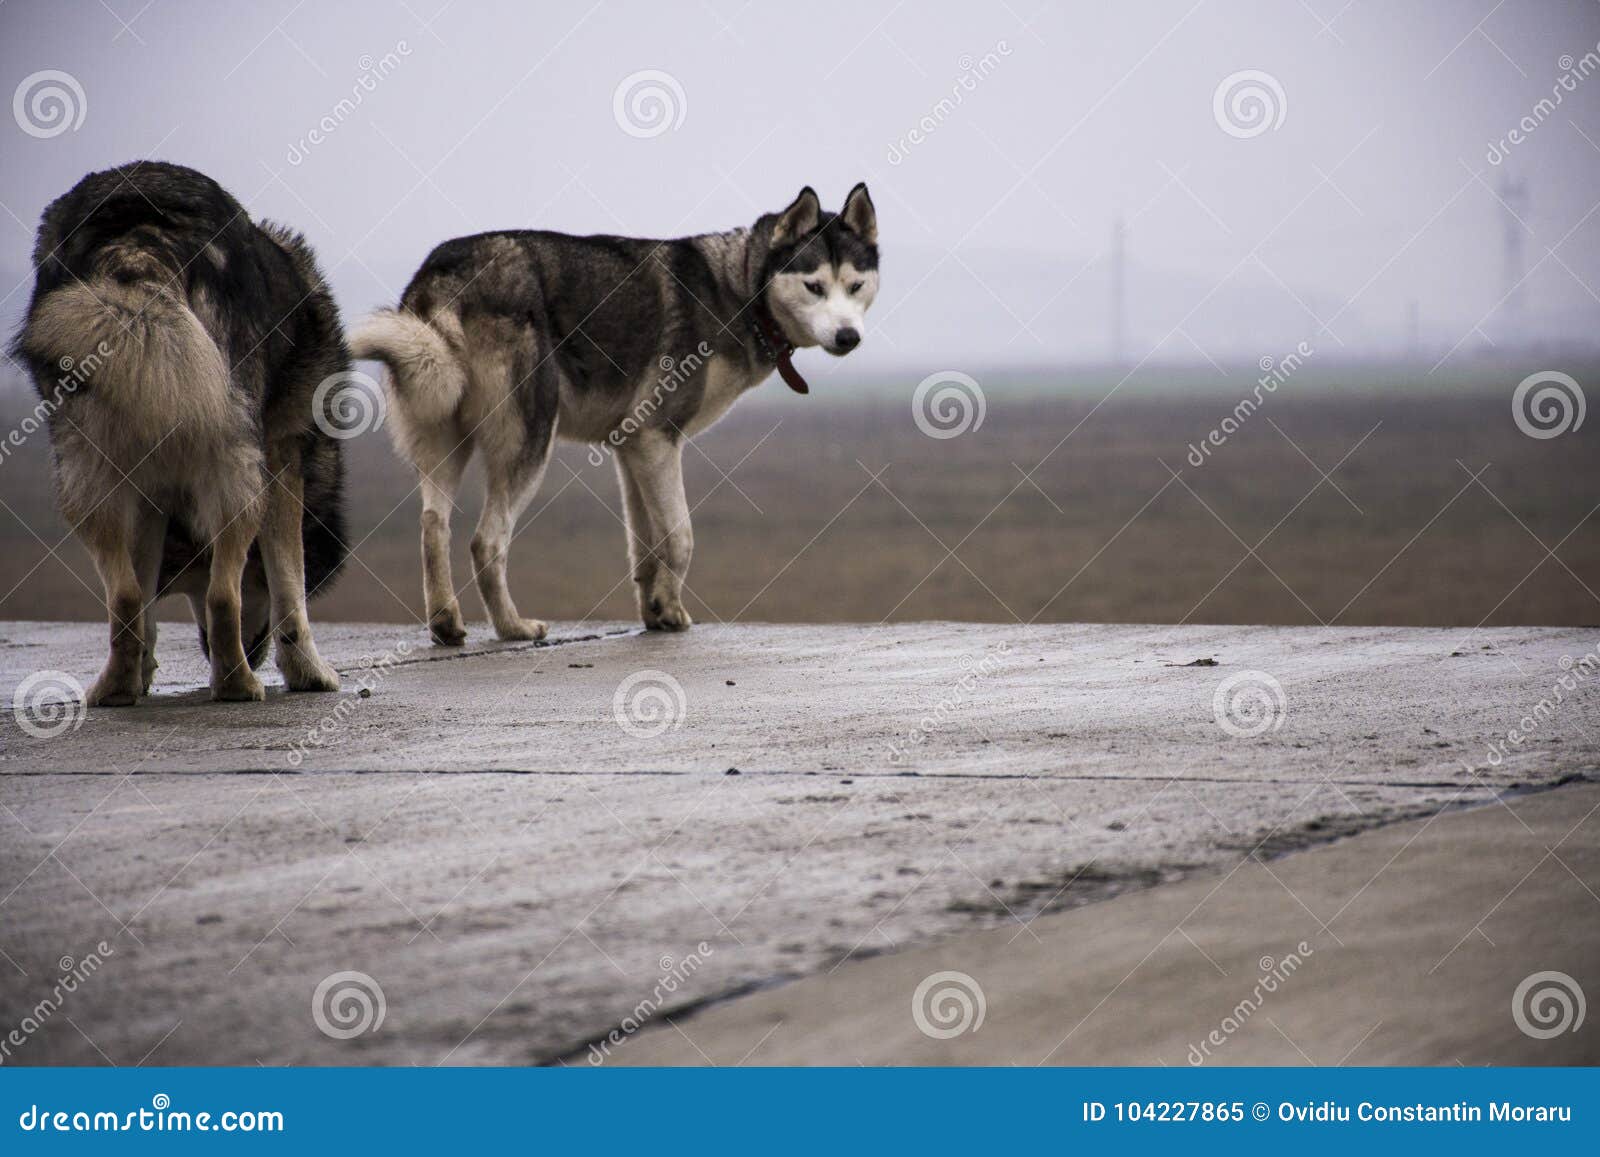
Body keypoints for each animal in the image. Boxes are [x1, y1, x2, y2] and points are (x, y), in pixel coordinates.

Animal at [13, 163, 347, 707]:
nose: (252, 651)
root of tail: (135, 242)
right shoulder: (283, 459)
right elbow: (289, 588)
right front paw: (311, 674)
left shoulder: (151, 495)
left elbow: (146, 596)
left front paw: (143, 671)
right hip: (241, 466)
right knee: (222, 595)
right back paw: (235, 683)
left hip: (83, 468)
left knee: (126, 596)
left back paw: (117, 688)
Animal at [352, 183, 883, 643]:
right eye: (814, 287)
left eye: (856, 285)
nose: (848, 337)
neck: (741, 290)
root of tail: (444, 273)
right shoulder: (659, 438)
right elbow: (681, 536)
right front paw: (669, 608)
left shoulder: (631, 446)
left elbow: (646, 546)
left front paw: (656, 612)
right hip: (530, 440)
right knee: (486, 542)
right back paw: (513, 628)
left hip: (445, 438)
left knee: (432, 525)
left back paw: (446, 623)